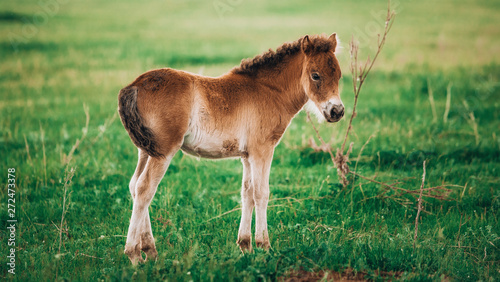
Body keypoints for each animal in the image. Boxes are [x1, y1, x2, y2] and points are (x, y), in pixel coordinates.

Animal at [118, 33, 344, 264]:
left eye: (339, 75)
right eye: (315, 76)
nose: (336, 111)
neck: (268, 91)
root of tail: (135, 85)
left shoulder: (247, 155)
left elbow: (247, 192)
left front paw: (245, 245)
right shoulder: (262, 151)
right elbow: (261, 193)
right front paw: (264, 246)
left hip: (146, 150)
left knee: (134, 185)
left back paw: (150, 250)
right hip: (163, 152)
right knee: (145, 188)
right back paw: (134, 254)